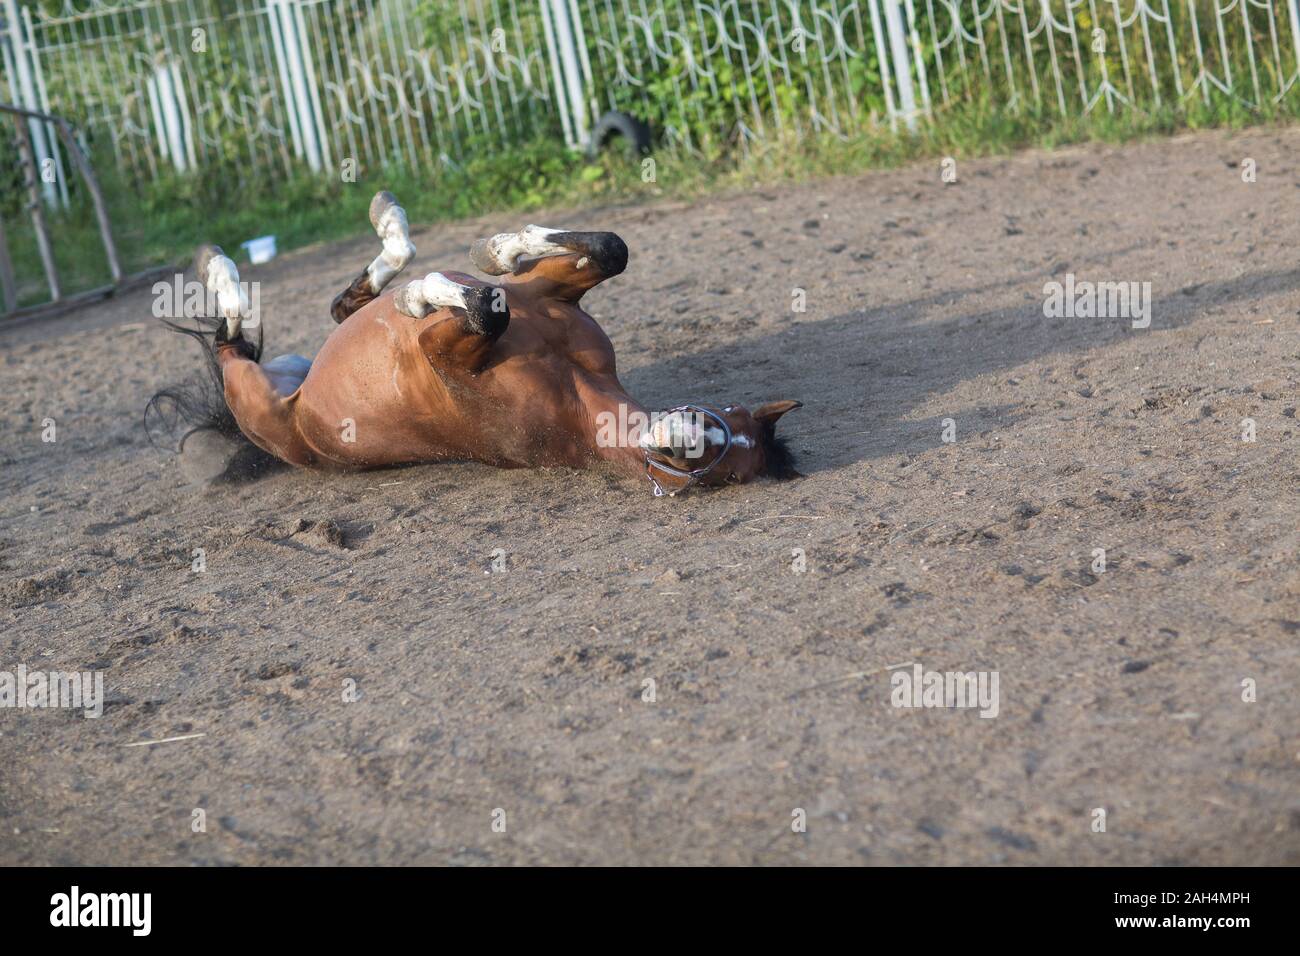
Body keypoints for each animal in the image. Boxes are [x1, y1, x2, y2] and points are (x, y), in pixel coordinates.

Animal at [149, 191, 801, 496]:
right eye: (720, 415)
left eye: (719, 467)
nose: (679, 433)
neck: (576, 394)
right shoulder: (549, 292)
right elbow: (608, 248)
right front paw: (496, 250)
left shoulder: (447, 355)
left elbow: (486, 311)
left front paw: (422, 297)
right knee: (337, 309)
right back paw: (389, 230)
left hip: (255, 397)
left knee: (233, 343)